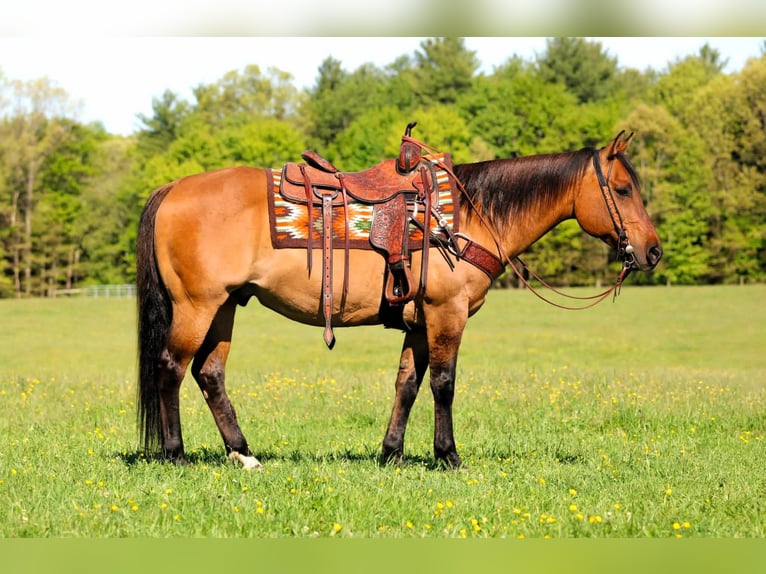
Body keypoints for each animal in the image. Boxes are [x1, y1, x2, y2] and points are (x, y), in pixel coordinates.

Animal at [136, 130, 662, 470]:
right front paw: (448, 456)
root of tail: (172, 188)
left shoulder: (419, 321)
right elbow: (444, 384)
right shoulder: (446, 314)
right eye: (622, 189)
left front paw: (391, 453)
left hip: (224, 307)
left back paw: (243, 454)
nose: (652, 251)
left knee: (210, 375)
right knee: (170, 368)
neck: (468, 216)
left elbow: (407, 383)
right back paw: (175, 454)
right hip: (197, 307)